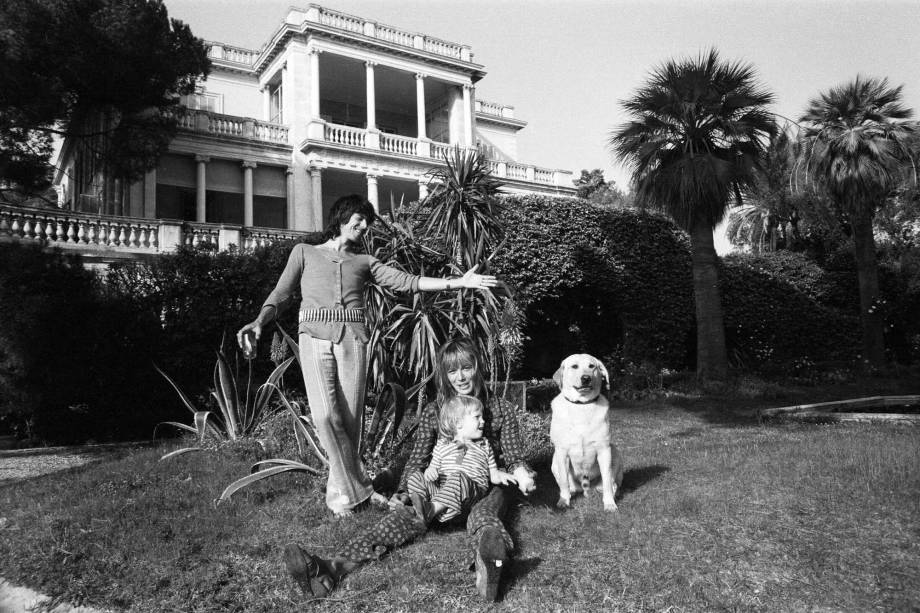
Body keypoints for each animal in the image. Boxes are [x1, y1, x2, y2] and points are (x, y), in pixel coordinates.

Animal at [548, 354, 620, 512]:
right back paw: (570, 492)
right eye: (574, 366)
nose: (586, 378)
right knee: (568, 485)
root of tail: (586, 489)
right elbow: (564, 481)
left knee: (612, 484)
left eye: (592, 366)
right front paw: (563, 501)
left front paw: (609, 503)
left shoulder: (604, 449)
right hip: (554, 461)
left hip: (615, 452)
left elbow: (607, 480)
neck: (581, 405)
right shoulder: (562, 451)